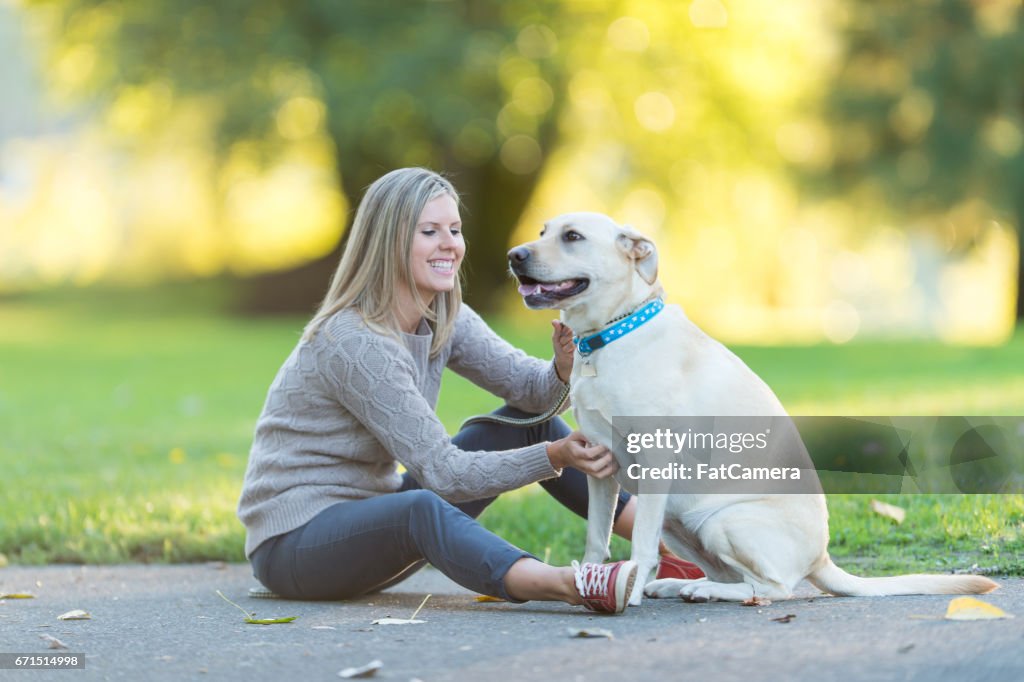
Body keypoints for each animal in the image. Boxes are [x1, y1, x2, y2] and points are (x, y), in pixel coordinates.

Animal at [507, 209, 995, 602]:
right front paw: (588, 581)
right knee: (733, 576)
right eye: (543, 230)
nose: (514, 255)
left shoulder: (656, 458)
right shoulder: (599, 464)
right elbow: (596, 537)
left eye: (572, 236)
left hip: (723, 521)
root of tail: (822, 559)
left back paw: (701, 590)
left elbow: (641, 545)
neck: (612, 333)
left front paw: (629, 589)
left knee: (771, 589)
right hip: (678, 524)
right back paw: (679, 584)